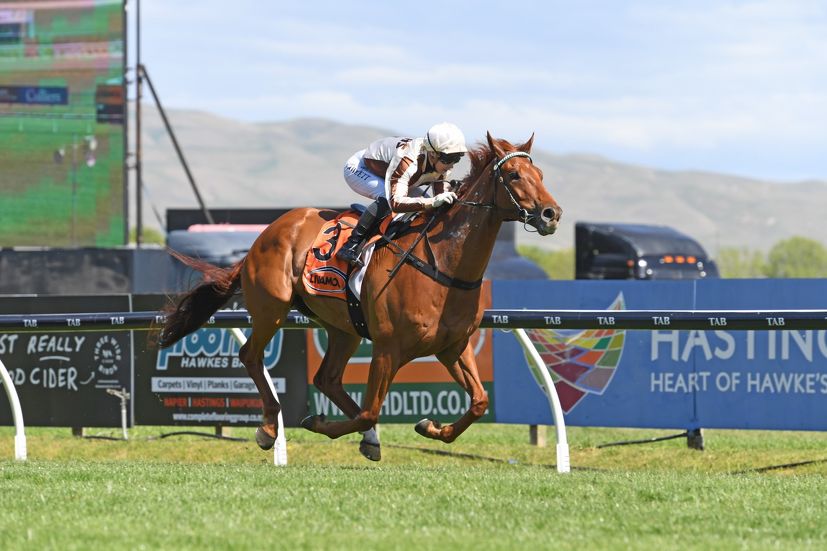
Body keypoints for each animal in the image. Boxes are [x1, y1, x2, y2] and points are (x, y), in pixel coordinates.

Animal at [160, 134, 564, 462]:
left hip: (343, 328)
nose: (552, 213)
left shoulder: (454, 346)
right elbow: (370, 411)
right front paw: (318, 423)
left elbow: (479, 402)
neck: (444, 264)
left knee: (326, 379)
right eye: (514, 175)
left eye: (541, 174)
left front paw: (431, 428)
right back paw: (268, 428)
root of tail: (266, 232)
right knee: (251, 356)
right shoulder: (388, 348)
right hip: (271, 308)